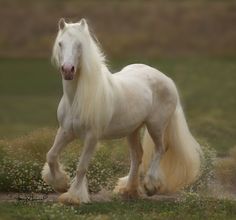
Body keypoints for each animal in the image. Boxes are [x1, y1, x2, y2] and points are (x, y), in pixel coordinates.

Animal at [42, 18, 201, 205]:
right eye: (60, 43)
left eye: (79, 44)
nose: (68, 70)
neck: (77, 99)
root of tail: (167, 79)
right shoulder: (66, 131)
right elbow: (51, 155)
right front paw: (60, 183)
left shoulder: (92, 137)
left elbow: (81, 167)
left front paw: (73, 197)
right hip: (133, 130)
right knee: (137, 155)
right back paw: (128, 190)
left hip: (156, 126)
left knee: (160, 149)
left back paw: (150, 186)